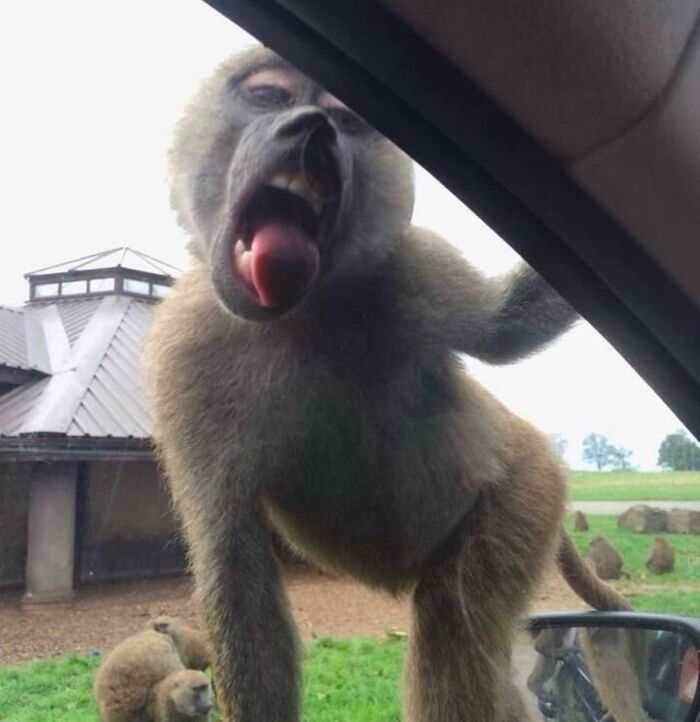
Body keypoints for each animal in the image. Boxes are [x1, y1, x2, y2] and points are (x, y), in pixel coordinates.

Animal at [144, 45, 630, 722]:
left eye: (344, 119)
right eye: (269, 95)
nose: (312, 130)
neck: (302, 313)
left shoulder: (417, 268)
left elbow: (506, 328)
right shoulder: (184, 361)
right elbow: (235, 572)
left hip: (526, 487)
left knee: (454, 618)